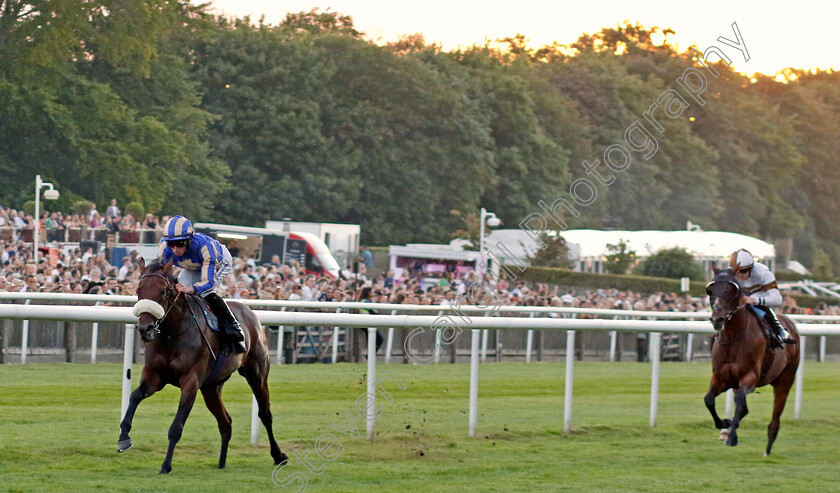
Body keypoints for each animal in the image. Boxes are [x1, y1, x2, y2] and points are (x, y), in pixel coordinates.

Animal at [116, 258, 288, 472]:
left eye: (163, 291)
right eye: (138, 290)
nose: (145, 329)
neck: (173, 334)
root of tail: (251, 313)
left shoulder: (191, 381)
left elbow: (176, 427)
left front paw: (166, 465)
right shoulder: (154, 376)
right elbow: (134, 397)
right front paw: (123, 438)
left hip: (257, 374)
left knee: (265, 413)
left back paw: (278, 455)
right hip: (211, 387)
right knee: (226, 422)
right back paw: (221, 463)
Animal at [704, 264, 800, 456]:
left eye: (732, 290)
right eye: (711, 290)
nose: (717, 319)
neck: (733, 339)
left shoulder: (750, 376)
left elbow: (740, 399)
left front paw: (732, 437)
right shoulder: (721, 377)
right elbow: (709, 399)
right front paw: (724, 423)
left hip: (785, 379)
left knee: (775, 416)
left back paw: (768, 448)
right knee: (742, 405)